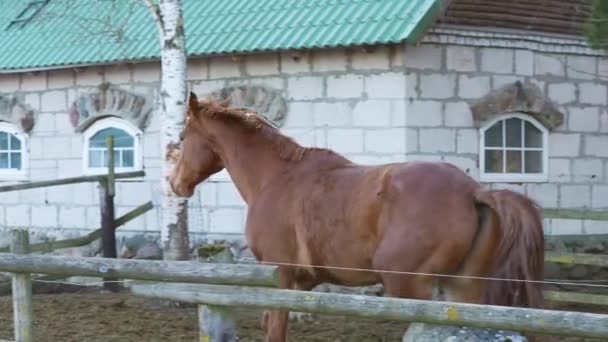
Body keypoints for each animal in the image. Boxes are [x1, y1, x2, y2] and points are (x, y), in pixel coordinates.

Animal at [169, 93, 544, 342]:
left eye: (183, 137)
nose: (175, 183)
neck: (276, 177)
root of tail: (473, 191)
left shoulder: (281, 278)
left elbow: (275, 330)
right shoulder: (302, 283)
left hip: (411, 288)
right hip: (462, 288)